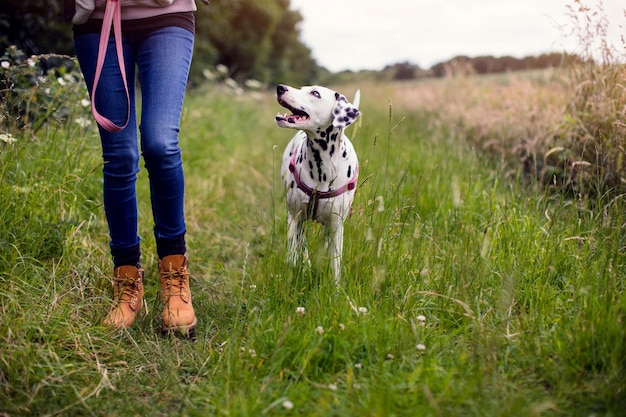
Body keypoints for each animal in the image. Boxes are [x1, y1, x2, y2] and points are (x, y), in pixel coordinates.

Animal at [274, 84, 358, 282]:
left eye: (315, 93)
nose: (280, 87)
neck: (322, 168)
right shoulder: (294, 217)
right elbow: (293, 255)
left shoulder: (336, 226)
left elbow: (335, 265)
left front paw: (335, 288)